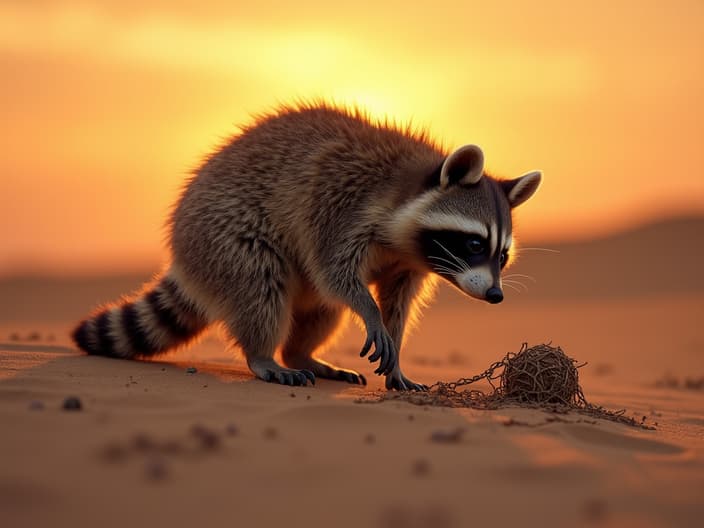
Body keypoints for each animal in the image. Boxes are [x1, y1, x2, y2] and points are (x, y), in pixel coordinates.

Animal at [73, 104, 540, 392]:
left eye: (502, 256)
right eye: (475, 243)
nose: (495, 295)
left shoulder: (408, 263)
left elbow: (397, 303)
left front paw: (396, 348)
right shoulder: (340, 203)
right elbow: (334, 270)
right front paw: (370, 312)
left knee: (321, 308)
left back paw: (301, 353)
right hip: (220, 236)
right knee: (262, 285)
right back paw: (263, 355)